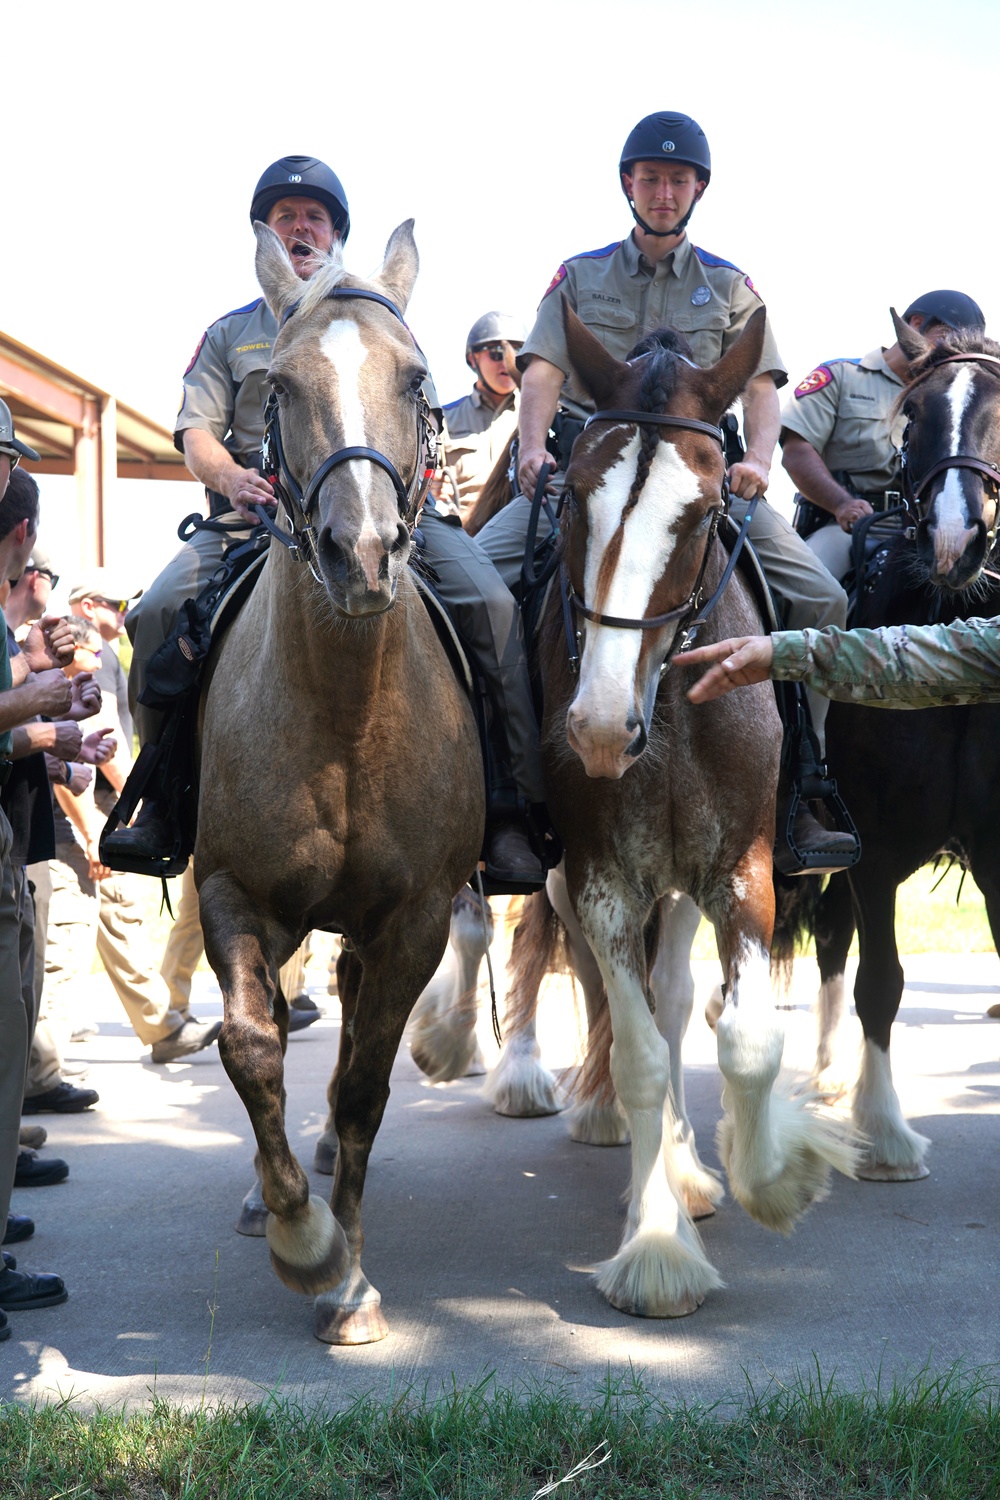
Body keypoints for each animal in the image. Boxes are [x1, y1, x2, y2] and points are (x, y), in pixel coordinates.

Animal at [196, 222, 485, 1350]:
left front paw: (349, 1280)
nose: (359, 551)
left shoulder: (414, 918)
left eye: (415, 382)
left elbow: (364, 1081)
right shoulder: (231, 892)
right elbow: (249, 1044)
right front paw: (300, 1236)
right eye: (277, 388)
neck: (345, 715)